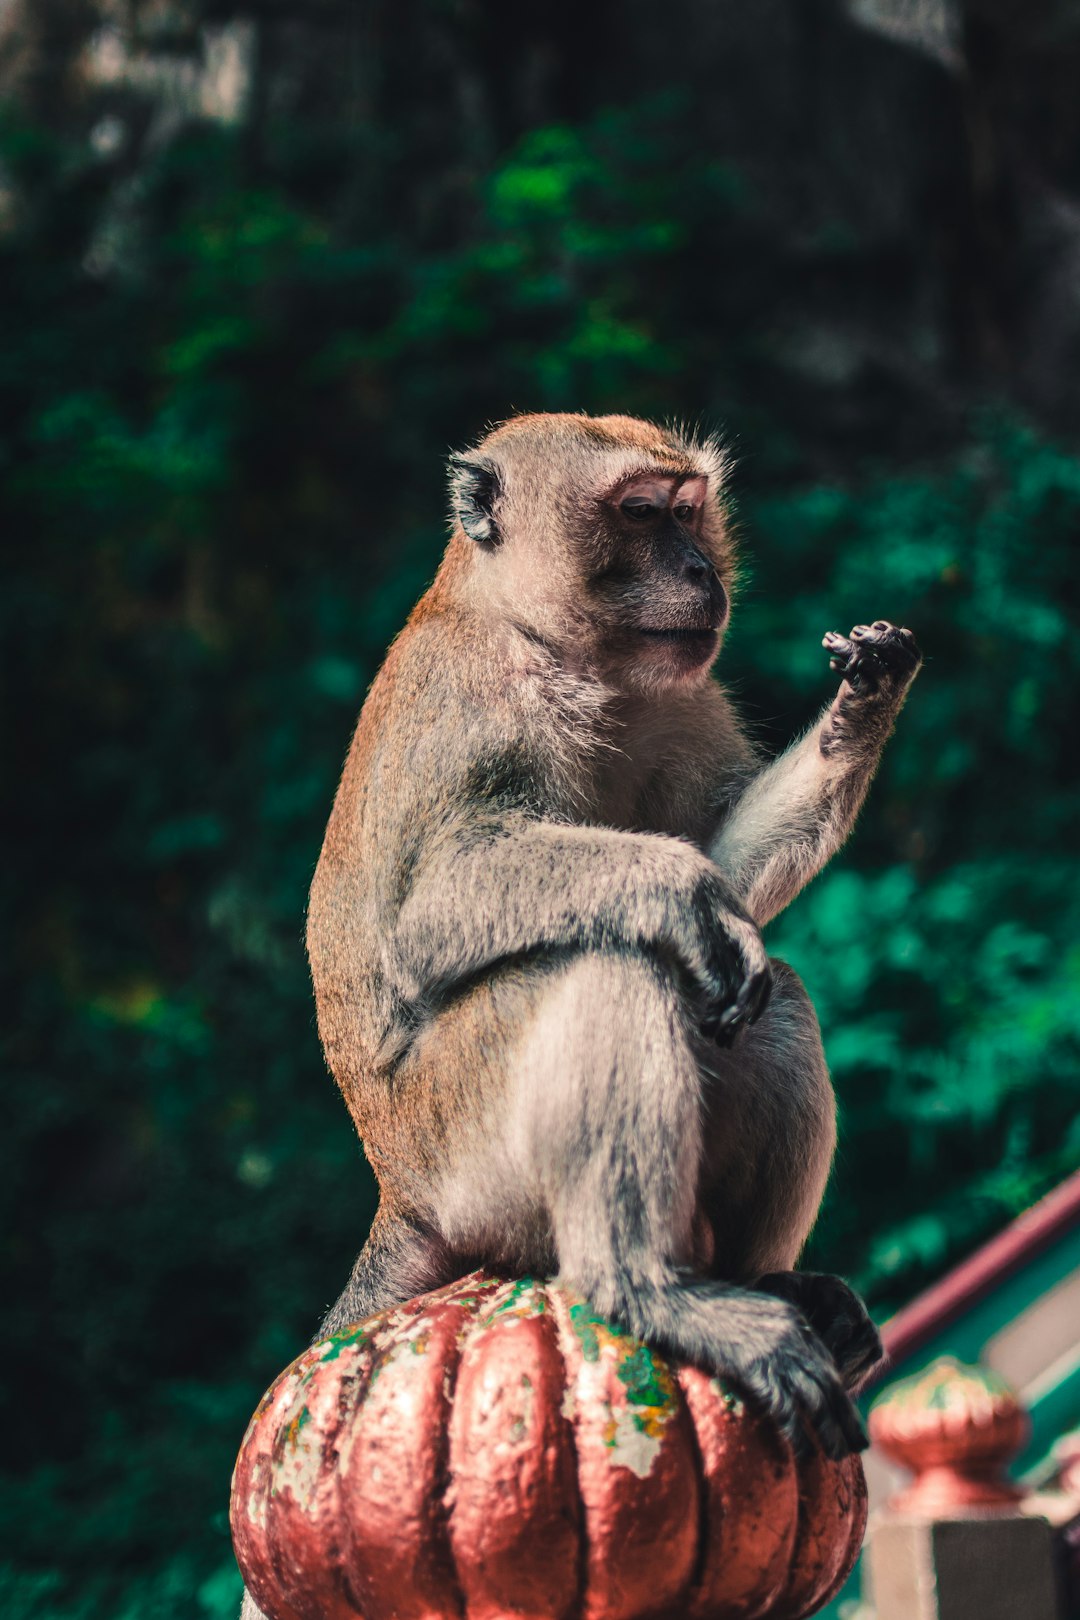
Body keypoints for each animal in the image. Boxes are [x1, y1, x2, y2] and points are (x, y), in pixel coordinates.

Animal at [306, 411, 919, 1451]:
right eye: (638, 514)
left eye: (689, 511)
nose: (703, 572)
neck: (556, 646)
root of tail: (400, 1195)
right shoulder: (483, 700)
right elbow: (429, 912)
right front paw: (678, 888)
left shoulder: (683, 693)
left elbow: (732, 882)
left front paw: (861, 702)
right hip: (465, 1151)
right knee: (606, 964)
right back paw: (642, 1288)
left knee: (766, 996)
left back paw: (765, 1285)